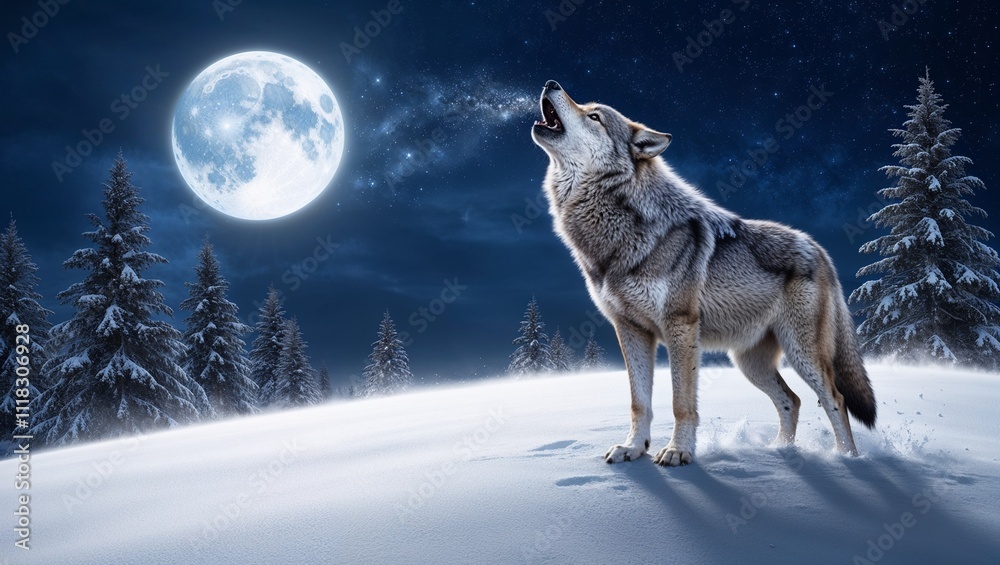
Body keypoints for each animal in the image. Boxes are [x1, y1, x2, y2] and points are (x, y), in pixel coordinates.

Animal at [530, 80, 876, 466]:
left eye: (594, 116)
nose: (550, 83)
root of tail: (818, 248)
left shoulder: (680, 327)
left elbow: (681, 403)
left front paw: (678, 451)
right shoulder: (630, 329)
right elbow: (639, 403)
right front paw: (633, 448)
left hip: (803, 354)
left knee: (835, 399)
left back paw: (847, 459)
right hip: (749, 362)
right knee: (792, 400)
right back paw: (780, 452)